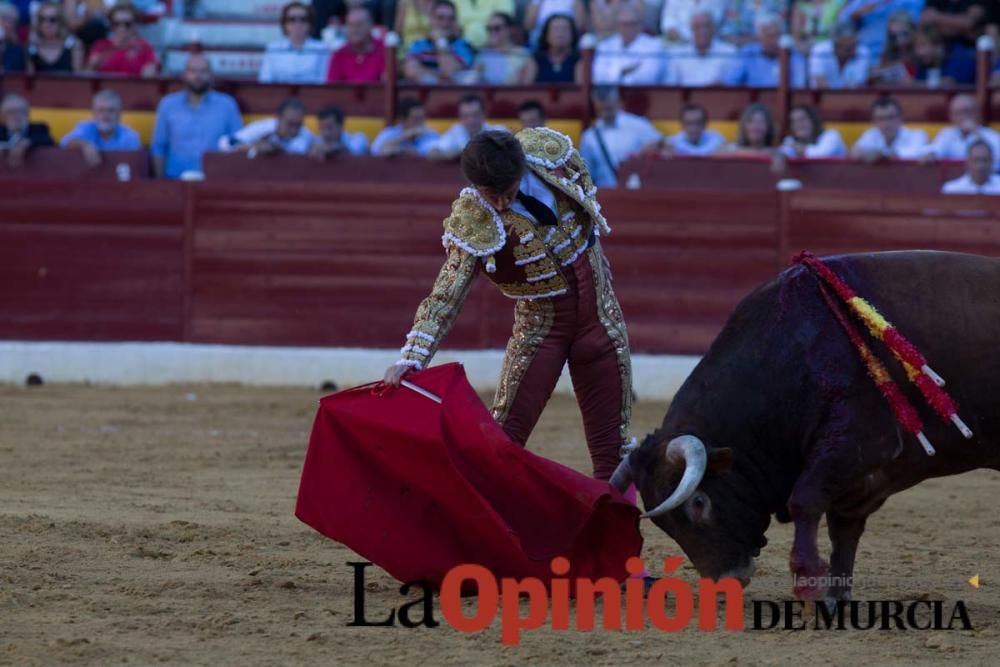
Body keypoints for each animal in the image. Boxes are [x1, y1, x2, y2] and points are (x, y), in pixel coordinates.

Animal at [608, 249, 1000, 600]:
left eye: (699, 502)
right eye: (662, 524)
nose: (723, 581)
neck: (791, 356)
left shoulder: (858, 446)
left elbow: (804, 501)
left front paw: (809, 585)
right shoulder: (860, 480)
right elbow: (842, 530)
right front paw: (835, 597)